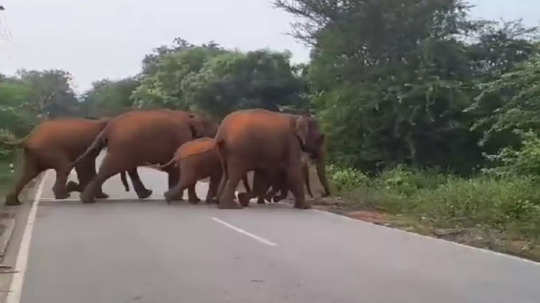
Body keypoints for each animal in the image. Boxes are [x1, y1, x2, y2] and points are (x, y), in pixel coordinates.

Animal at [2, 119, 150, 207]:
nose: (126, 189)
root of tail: (28, 137)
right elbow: (85, 164)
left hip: (33, 154)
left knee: (29, 173)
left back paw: (13, 203)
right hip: (48, 150)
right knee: (65, 166)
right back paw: (63, 195)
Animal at [75, 110, 218, 204]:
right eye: (213, 134)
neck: (191, 117)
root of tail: (107, 129)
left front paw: (176, 197)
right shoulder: (181, 136)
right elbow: (175, 168)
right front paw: (178, 198)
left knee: (127, 168)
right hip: (122, 147)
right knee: (109, 170)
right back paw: (86, 200)